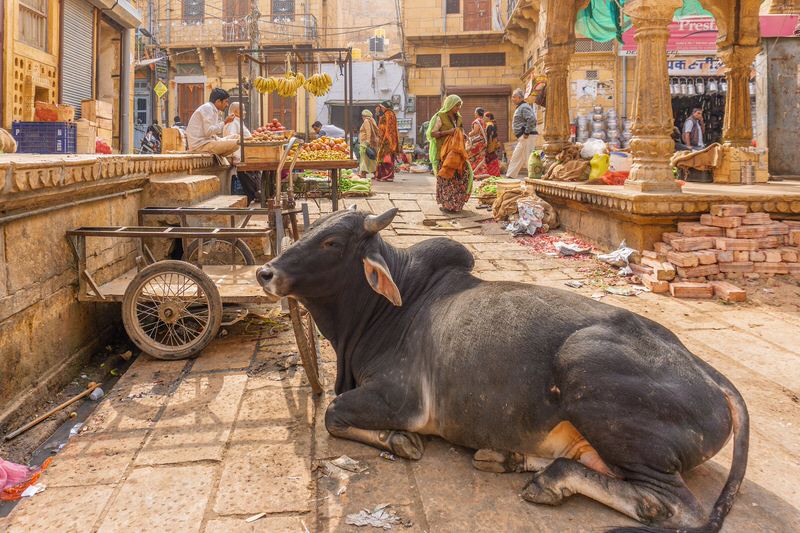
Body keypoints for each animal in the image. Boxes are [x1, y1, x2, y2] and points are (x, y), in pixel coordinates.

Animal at [258, 208, 752, 532]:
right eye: (311, 231)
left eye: (332, 243)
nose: (265, 273)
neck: (387, 308)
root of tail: (711, 375)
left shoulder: (400, 400)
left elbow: (333, 414)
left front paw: (400, 441)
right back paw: (507, 457)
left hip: (587, 370)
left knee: (673, 506)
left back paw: (548, 482)